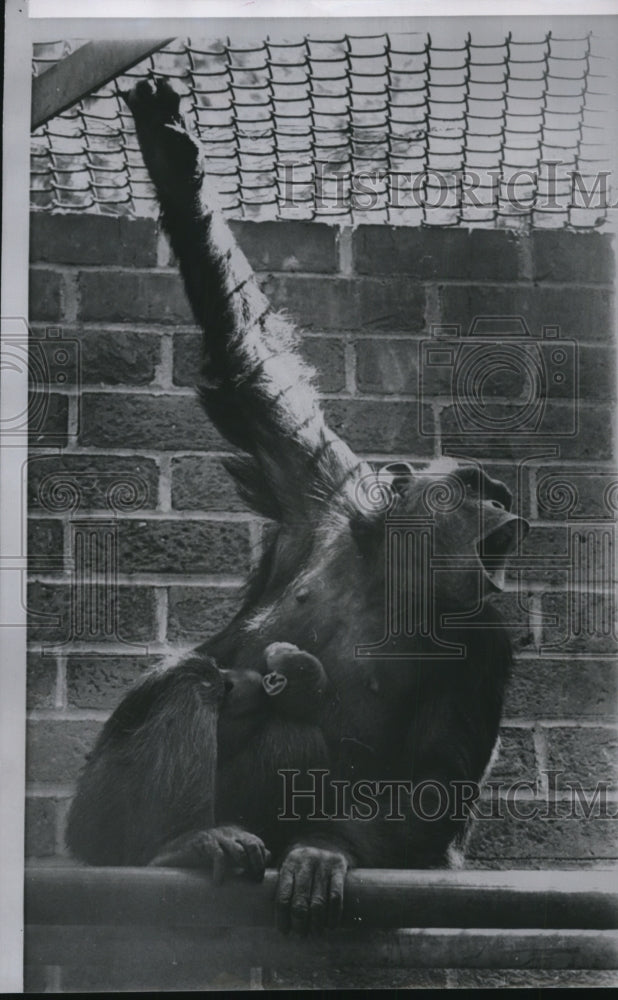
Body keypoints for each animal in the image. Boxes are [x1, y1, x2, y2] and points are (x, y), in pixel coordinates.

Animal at [65, 82, 528, 932]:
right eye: (477, 485)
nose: (508, 499)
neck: (392, 574)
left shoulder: (486, 642)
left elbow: (435, 779)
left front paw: (326, 852)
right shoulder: (319, 491)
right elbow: (249, 362)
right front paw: (174, 157)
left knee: (301, 731)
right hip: (90, 829)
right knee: (190, 685)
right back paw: (181, 845)